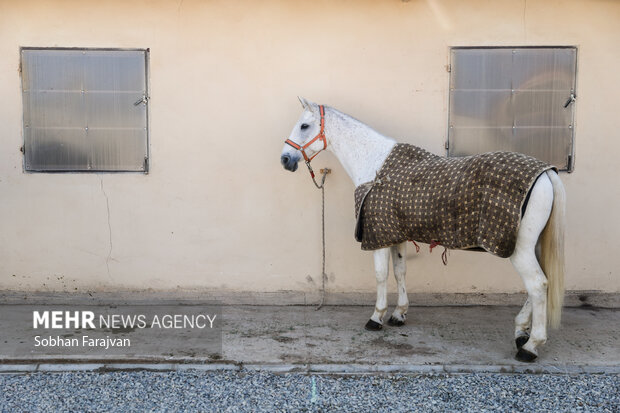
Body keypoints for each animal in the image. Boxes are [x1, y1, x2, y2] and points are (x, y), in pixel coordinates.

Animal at [282, 96, 568, 360]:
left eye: (304, 125)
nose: (286, 159)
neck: (375, 164)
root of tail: (545, 172)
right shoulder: (396, 234)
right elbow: (400, 272)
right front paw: (399, 314)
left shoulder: (378, 236)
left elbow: (381, 275)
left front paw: (376, 317)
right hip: (533, 246)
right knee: (541, 283)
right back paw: (521, 333)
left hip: (519, 250)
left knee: (538, 285)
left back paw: (530, 346)